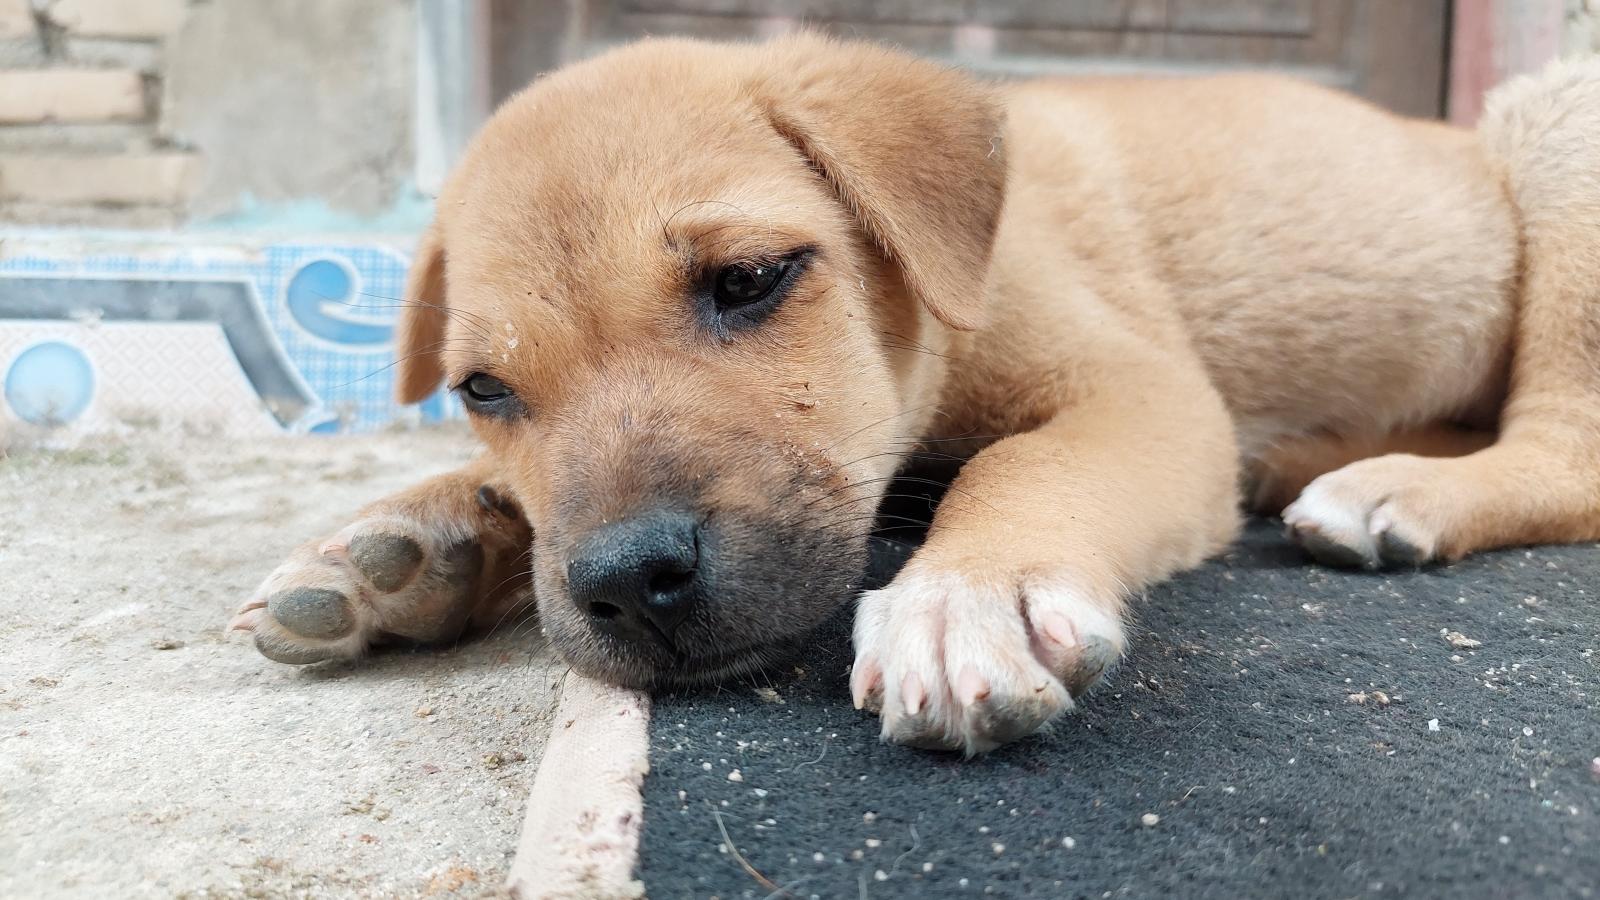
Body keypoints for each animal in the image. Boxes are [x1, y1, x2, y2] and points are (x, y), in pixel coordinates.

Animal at [232, 35, 1600, 749]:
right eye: (482, 387)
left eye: (751, 279)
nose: (626, 582)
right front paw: (410, 542)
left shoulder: (1134, 391)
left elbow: (1020, 462)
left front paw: (966, 596)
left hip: (1559, 154)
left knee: (1564, 450)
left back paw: (1389, 492)